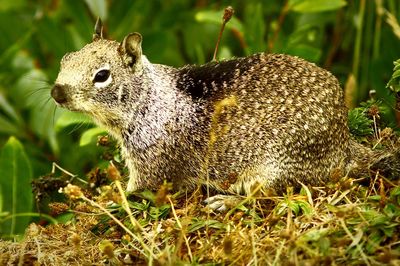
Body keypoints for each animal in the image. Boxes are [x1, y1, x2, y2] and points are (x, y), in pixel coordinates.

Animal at [52, 19, 396, 211]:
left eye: (102, 75)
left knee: (272, 196)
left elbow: (136, 191)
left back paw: (226, 201)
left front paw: (107, 200)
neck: (149, 100)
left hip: (274, 166)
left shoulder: (151, 162)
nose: (57, 92)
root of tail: (343, 144)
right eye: (65, 58)